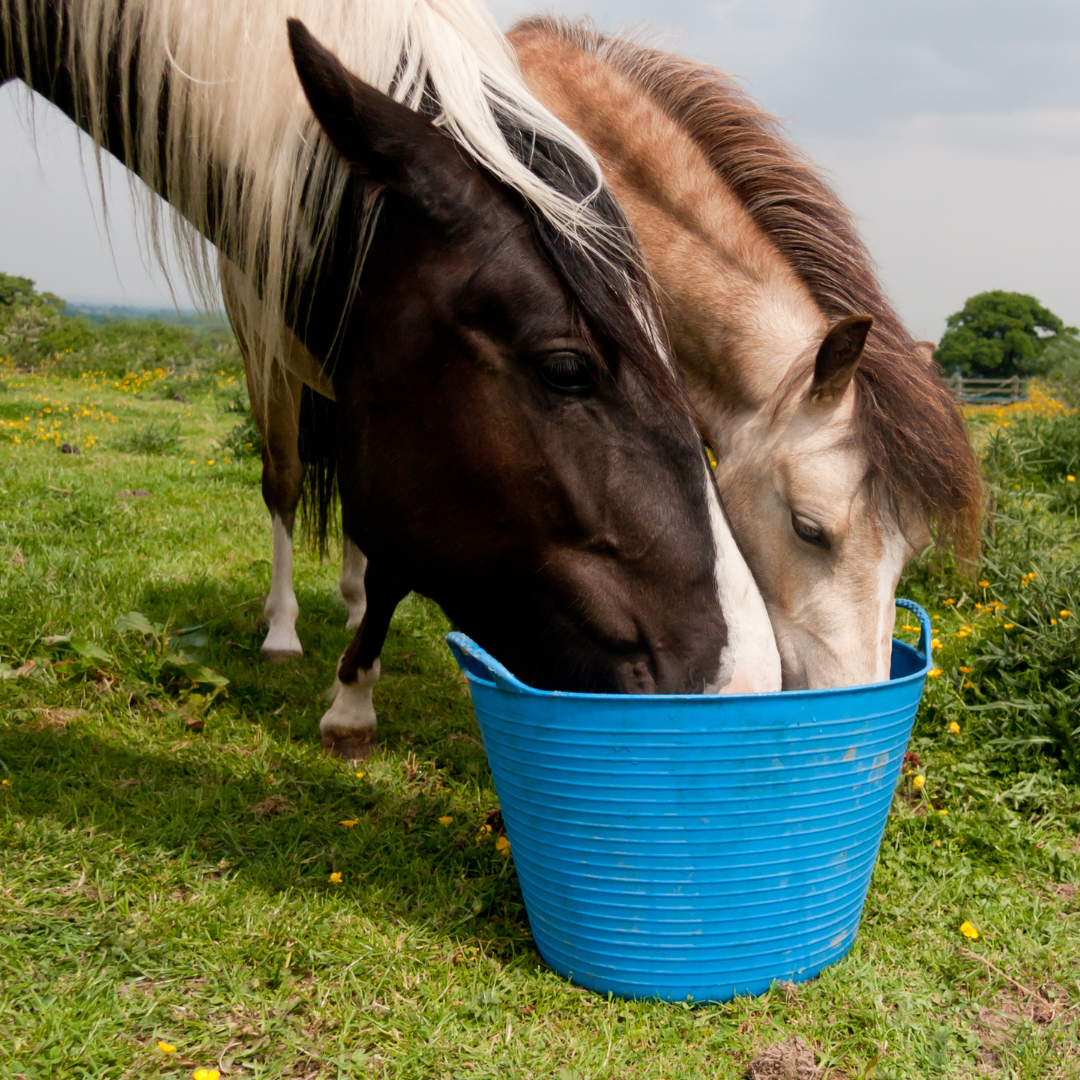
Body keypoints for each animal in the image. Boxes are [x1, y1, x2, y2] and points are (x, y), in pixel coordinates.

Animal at [1, 0, 782, 756]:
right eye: (566, 368)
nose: (745, 686)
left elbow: (383, 557)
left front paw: (354, 676)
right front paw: (346, 701)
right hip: (272, 375)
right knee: (285, 486)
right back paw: (282, 627)